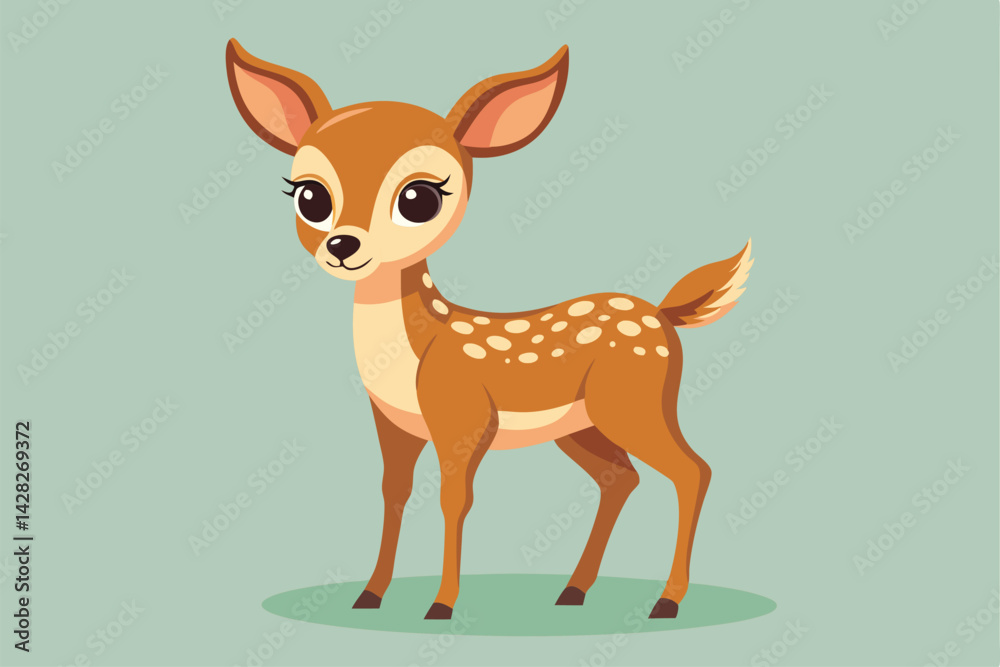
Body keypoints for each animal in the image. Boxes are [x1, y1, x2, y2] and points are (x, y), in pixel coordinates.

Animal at [225, 39, 752, 621]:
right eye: (309, 196)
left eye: (420, 198)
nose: (343, 245)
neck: (415, 351)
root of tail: (662, 314)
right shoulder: (392, 424)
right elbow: (393, 492)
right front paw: (370, 595)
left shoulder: (465, 417)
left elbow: (454, 499)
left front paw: (441, 605)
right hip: (582, 424)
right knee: (621, 477)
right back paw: (573, 591)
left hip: (636, 400)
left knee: (692, 470)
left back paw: (666, 600)